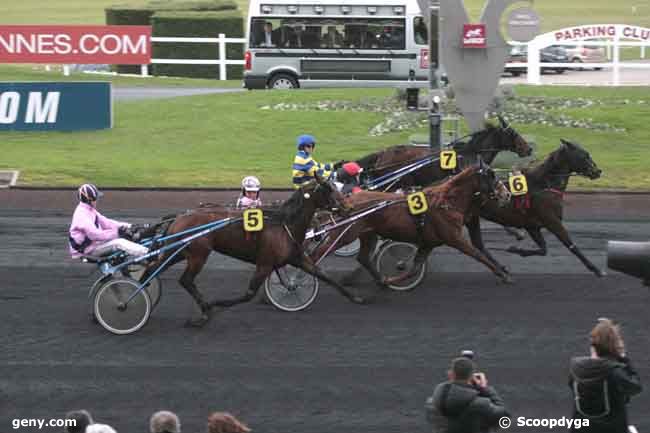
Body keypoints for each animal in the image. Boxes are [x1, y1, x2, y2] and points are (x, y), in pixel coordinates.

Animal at [150, 177, 364, 326]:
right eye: (329, 190)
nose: (349, 207)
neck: (284, 224)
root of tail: (179, 217)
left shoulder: (296, 258)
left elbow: (324, 275)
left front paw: (355, 297)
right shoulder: (265, 264)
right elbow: (248, 294)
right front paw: (215, 304)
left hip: (179, 252)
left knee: (155, 267)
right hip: (197, 255)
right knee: (185, 280)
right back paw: (203, 313)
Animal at [314, 163, 512, 290]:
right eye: (491, 175)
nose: (507, 194)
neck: (447, 202)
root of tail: (347, 201)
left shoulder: (428, 243)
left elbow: (414, 268)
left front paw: (390, 279)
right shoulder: (454, 238)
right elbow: (477, 254)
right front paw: (502, 274)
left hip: (368, 234)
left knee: (363, 258)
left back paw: (379, 280)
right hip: (345, 234)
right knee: (319, 252)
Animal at [466, 138, 604, 276]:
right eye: (584, 155)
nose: (597, 171)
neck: (544, 185)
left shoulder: (532, 226)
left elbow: (543, 249)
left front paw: (517, 249)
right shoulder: (552, 221)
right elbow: (570, 245)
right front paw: (596, 269)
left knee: (478, 244)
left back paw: (501, 267)